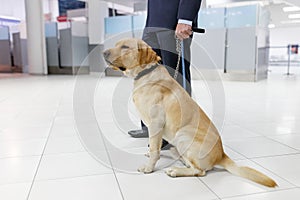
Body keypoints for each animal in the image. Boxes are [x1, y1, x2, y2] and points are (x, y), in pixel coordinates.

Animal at [103, 38, 276, 188]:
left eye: (125, 47)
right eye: (116, 44)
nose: (103, 52)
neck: (146, 73)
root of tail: (222, 155)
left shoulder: (156, 123)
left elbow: (154, 150)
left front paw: (149, 168)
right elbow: (154, 146)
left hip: (183, 135)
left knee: (199, 171)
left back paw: (175, 170)